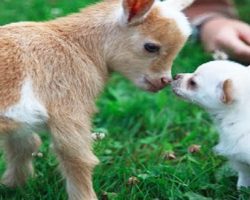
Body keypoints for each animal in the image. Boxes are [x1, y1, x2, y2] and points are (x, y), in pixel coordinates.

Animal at [0, 0, 193, 198]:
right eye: (151, 47)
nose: (164, 81)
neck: (77, 46)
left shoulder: (22, 124)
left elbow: (24, 146)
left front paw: (13, 185)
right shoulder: (69, 105)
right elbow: (77, 157)